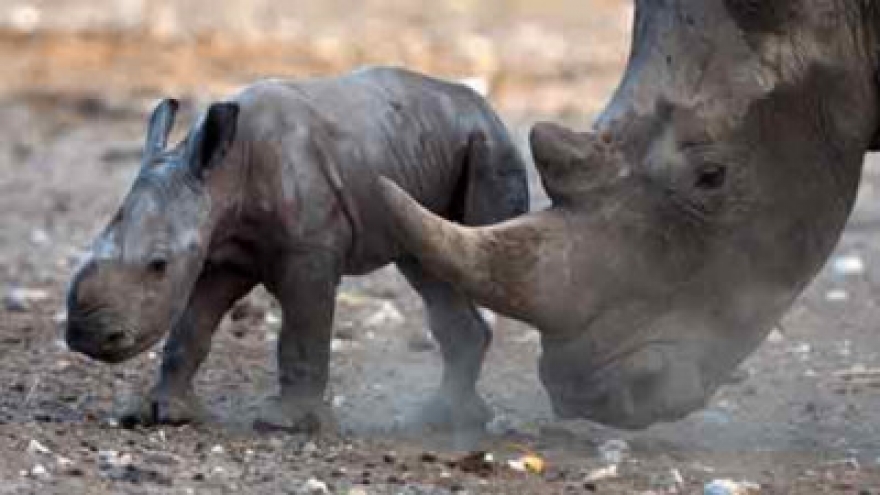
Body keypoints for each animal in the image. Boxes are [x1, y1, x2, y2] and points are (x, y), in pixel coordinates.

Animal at [65, 67, 529, 432]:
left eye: (158, 265)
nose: (85, 336)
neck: (221, 177)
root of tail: (488, 109)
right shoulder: (223, 253)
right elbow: (190, 327)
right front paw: (160, 413)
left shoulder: (309, 254)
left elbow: (302, 331)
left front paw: (284, 423)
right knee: (431, 266)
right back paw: (442, 419)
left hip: (491, 148)